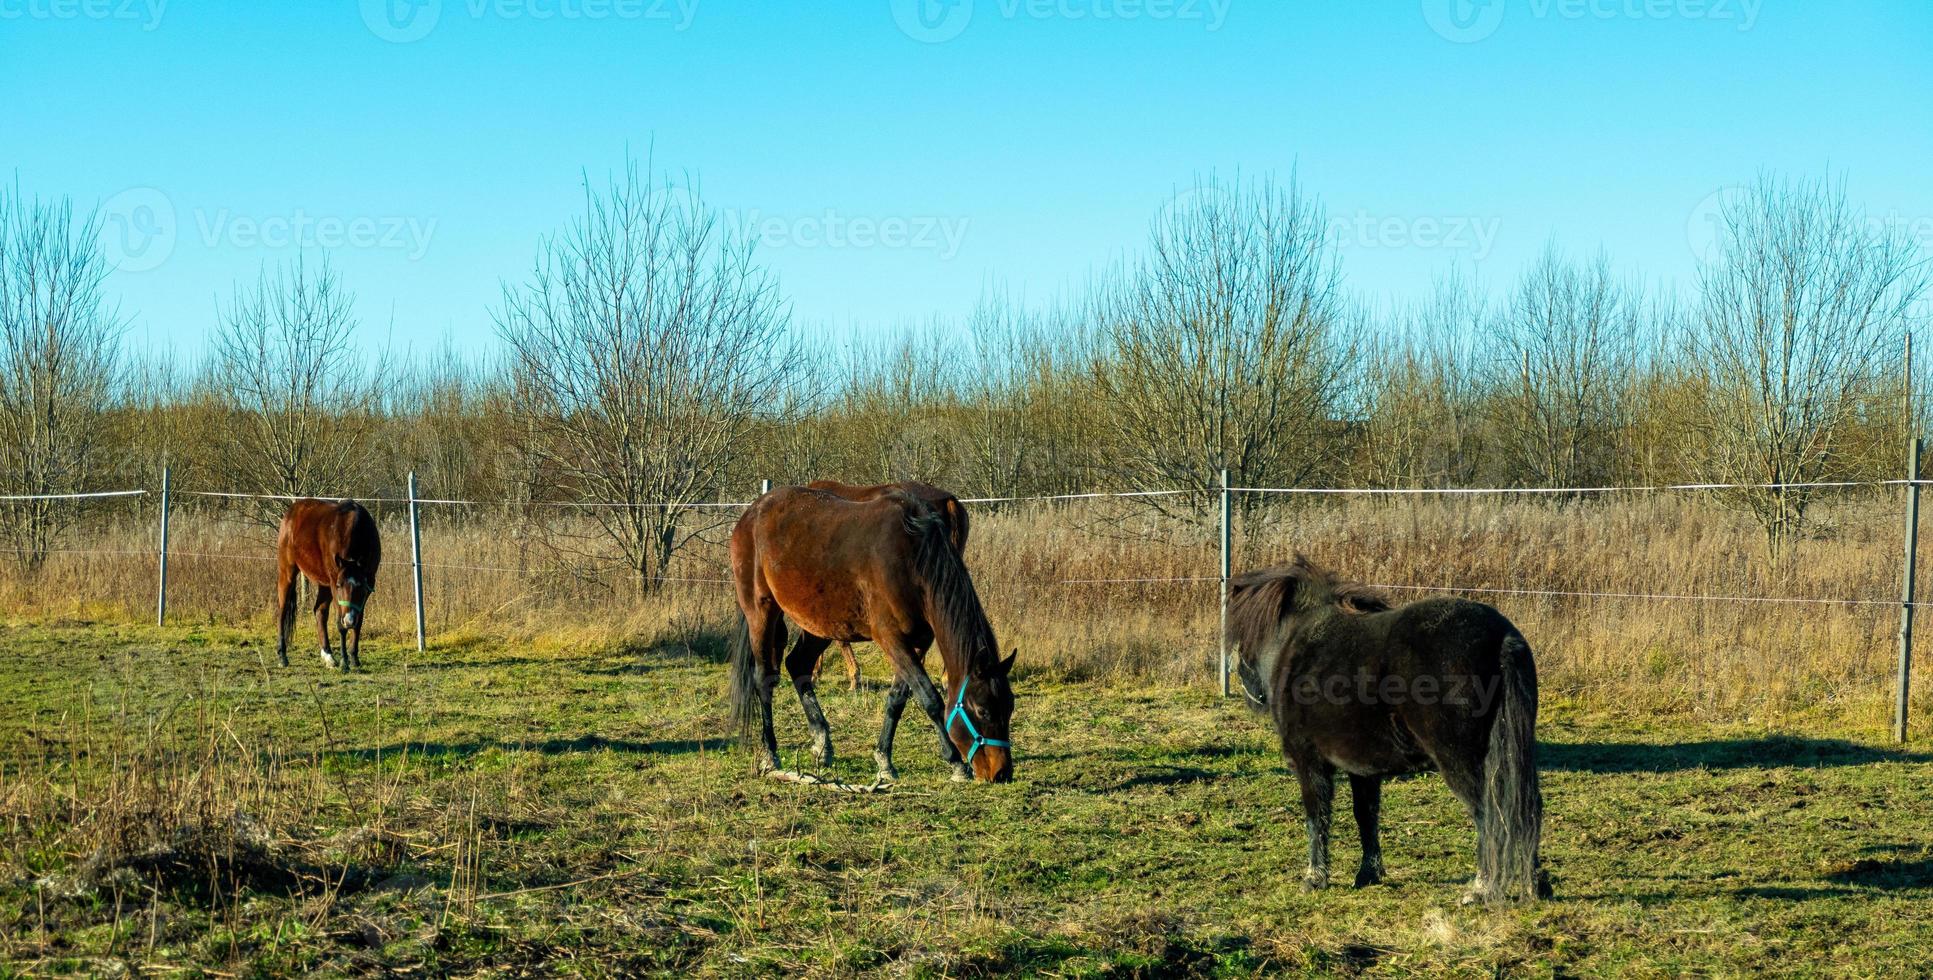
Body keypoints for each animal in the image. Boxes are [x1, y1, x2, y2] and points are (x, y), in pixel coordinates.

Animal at [274, 502, 382, 672]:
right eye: (339, 585)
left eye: (361, 587)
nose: (349, 620)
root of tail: (293, 510)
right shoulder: (333, 583)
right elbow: (340, 625)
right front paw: (345, 662)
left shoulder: (369, 582)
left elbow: (359, 621)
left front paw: (354, 658)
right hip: (287, 572)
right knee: (282, 612)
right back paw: (282, 656)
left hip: (323, 583)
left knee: (320, 611)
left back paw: (328, 655)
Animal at [1229, 560, 1546, 904]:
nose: (1252, 692)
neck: (1295, 643)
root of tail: (1502, 638)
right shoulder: (1363, 769)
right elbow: (1366, 815)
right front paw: (1368, 873)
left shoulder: (1308, 761)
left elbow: (1317, 816)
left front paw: (1314, 879)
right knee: (1525, 809)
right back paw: (1534, 886)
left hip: (1462, 761)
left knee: (1489, 814)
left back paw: (1481, 889)